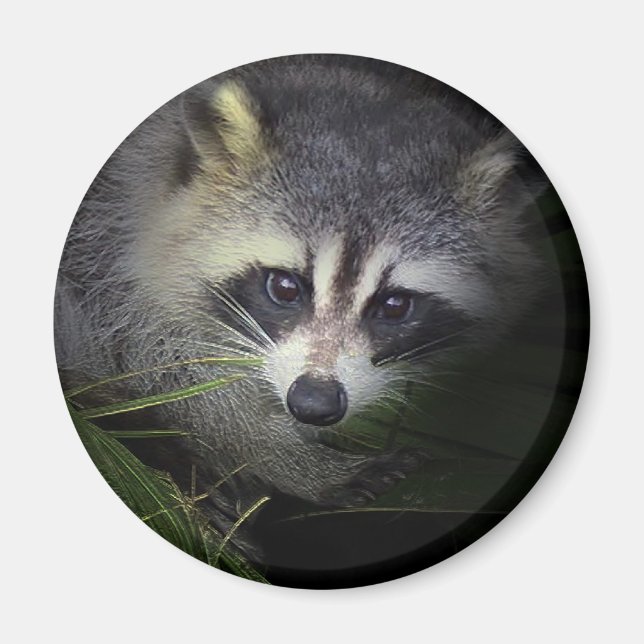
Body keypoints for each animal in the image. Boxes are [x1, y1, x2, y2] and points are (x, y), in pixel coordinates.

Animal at [55, 55, 548, 556]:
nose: (314, 404)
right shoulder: (107, 247)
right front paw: (287, 458)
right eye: (285, 288)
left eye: (394, 305)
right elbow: (163, 361)